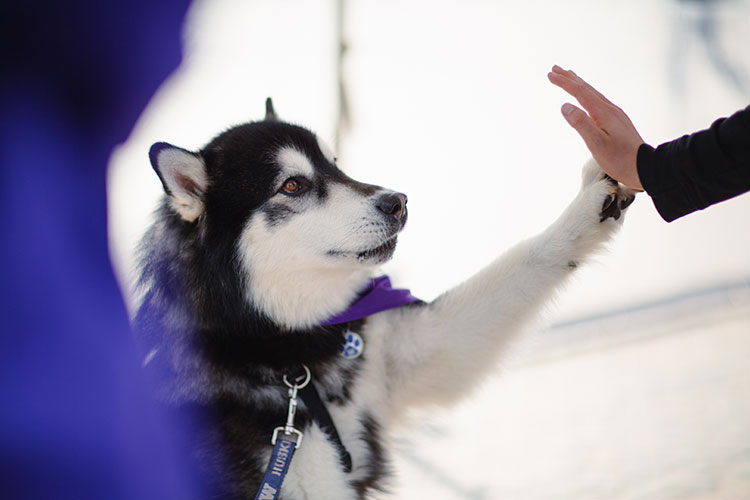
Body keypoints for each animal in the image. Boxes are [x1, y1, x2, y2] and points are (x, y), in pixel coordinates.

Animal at [134, 101, 636, 500]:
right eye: (292, 185)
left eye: (335, 163)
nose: (398, 201)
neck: (285, 349)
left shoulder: (409, 353)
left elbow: (533, 255)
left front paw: (594, 198)